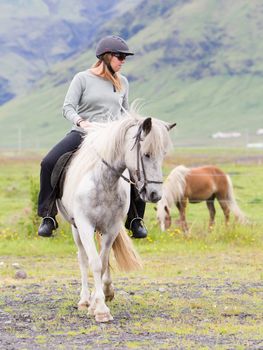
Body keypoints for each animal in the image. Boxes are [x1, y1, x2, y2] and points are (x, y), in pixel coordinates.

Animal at [58, 112, 177, 322]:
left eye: (163, 155)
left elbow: (104, 261)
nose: (155, 194)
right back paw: (84, 300)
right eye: (146, 154)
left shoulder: (112, 227)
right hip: (75, 228)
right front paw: (99, 309)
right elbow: (95, 263)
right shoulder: (85, 225)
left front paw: (103, 296)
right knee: (82, 258)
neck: (105, 182)